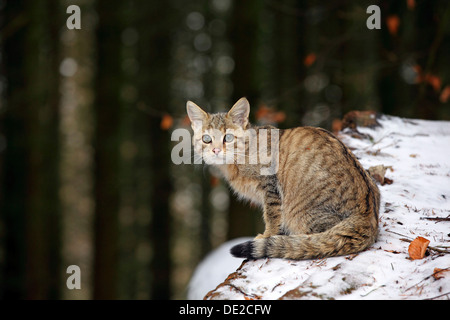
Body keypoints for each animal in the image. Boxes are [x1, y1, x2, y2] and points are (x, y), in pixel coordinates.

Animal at [186, 97, 380, 260]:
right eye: (206, 139)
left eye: (228, 137)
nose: (216, 150)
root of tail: (369, 216)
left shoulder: (270, 186)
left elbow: (272, 215)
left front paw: (267, 235)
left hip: (303, 213)